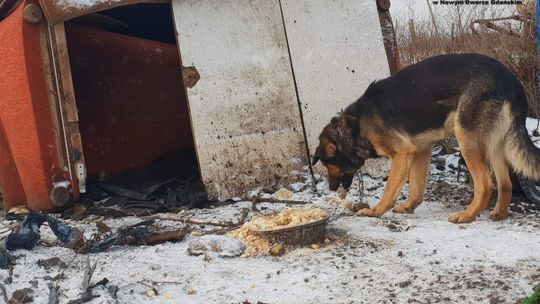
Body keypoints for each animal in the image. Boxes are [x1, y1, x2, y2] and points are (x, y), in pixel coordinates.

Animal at [312, 52, 540, 223]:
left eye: (326, 163)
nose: (331, 188)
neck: (355, 125)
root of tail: (512, 83)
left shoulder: (402, 154)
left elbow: (389, 189)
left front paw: (375, 212)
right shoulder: (420, 151)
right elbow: (416, 188)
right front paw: (407, 207)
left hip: (467, 141)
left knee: (485, 185)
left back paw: (467, 216)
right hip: (494, 145)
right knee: (506, 184)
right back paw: (499, 213)